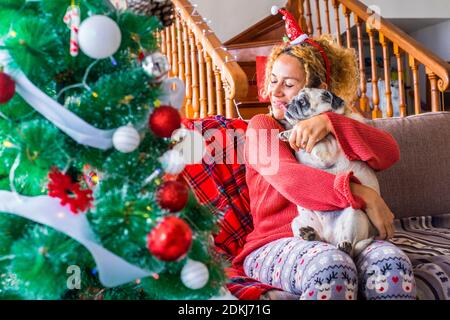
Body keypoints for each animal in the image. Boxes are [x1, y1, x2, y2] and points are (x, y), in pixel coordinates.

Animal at [280, 88, 378, 258]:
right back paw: (310, 234)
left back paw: (345, 246)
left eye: (303, 102)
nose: (289, 104)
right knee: (319, 237)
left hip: (354, 213)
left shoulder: (324, 151)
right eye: (293, 99)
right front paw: (288, 132)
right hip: (297, 222)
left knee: (352, 247)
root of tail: (330, 237)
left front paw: (295, 132)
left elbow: (311, 138)